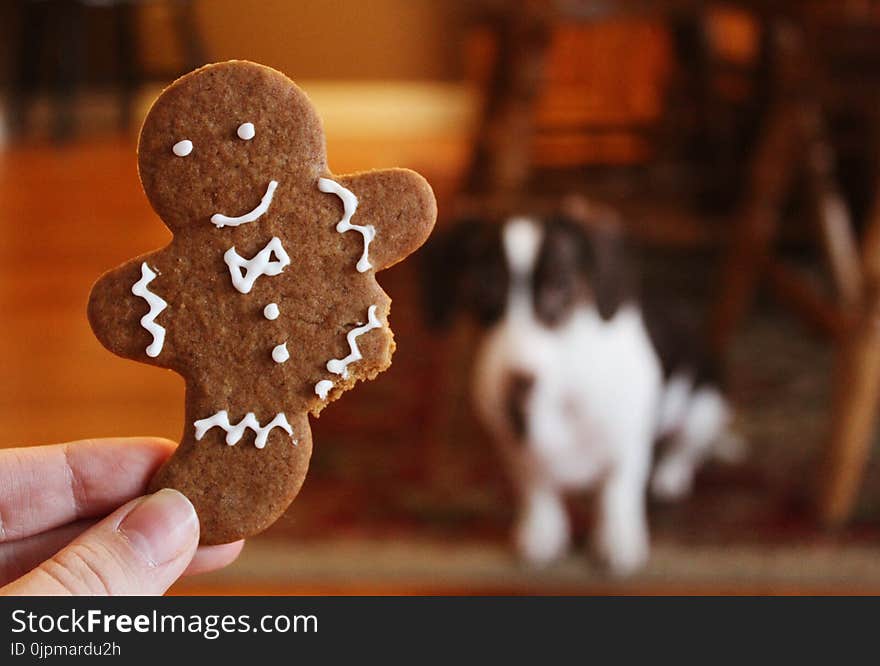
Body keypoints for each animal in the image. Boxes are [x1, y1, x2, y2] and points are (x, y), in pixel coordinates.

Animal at [422, 205, 740, 572]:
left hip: (704, 408)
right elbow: (537, 489)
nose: (518, 382)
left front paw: (617, 539)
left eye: (561, 286)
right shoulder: (516, 449)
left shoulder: (627, 447)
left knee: (686, 448)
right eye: (482, 288)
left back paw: (670, 475)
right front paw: (543, 531)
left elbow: (618, 493)